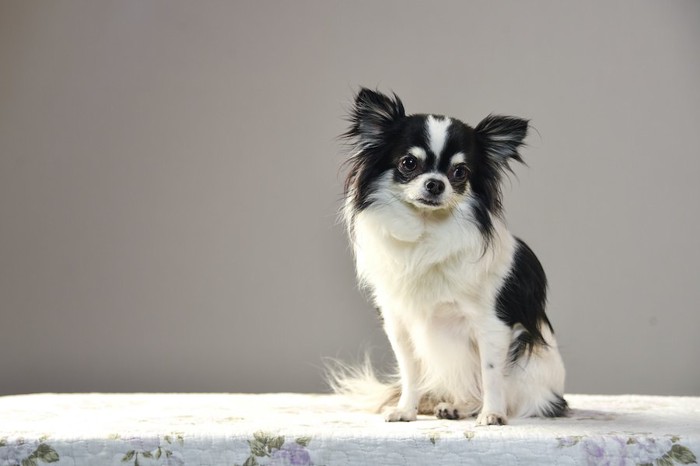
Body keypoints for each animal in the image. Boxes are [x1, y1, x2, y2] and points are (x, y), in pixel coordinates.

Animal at [330, 88, 568, 426]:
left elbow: (491, 374)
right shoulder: (399, 324)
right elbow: (410, 373)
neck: (426, 232)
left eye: (460, 172)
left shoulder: (492, 326)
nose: (435, 183)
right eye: (408, 163)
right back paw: (454, 406)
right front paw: (406, 410)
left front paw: (492, 415)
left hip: (529, 367)